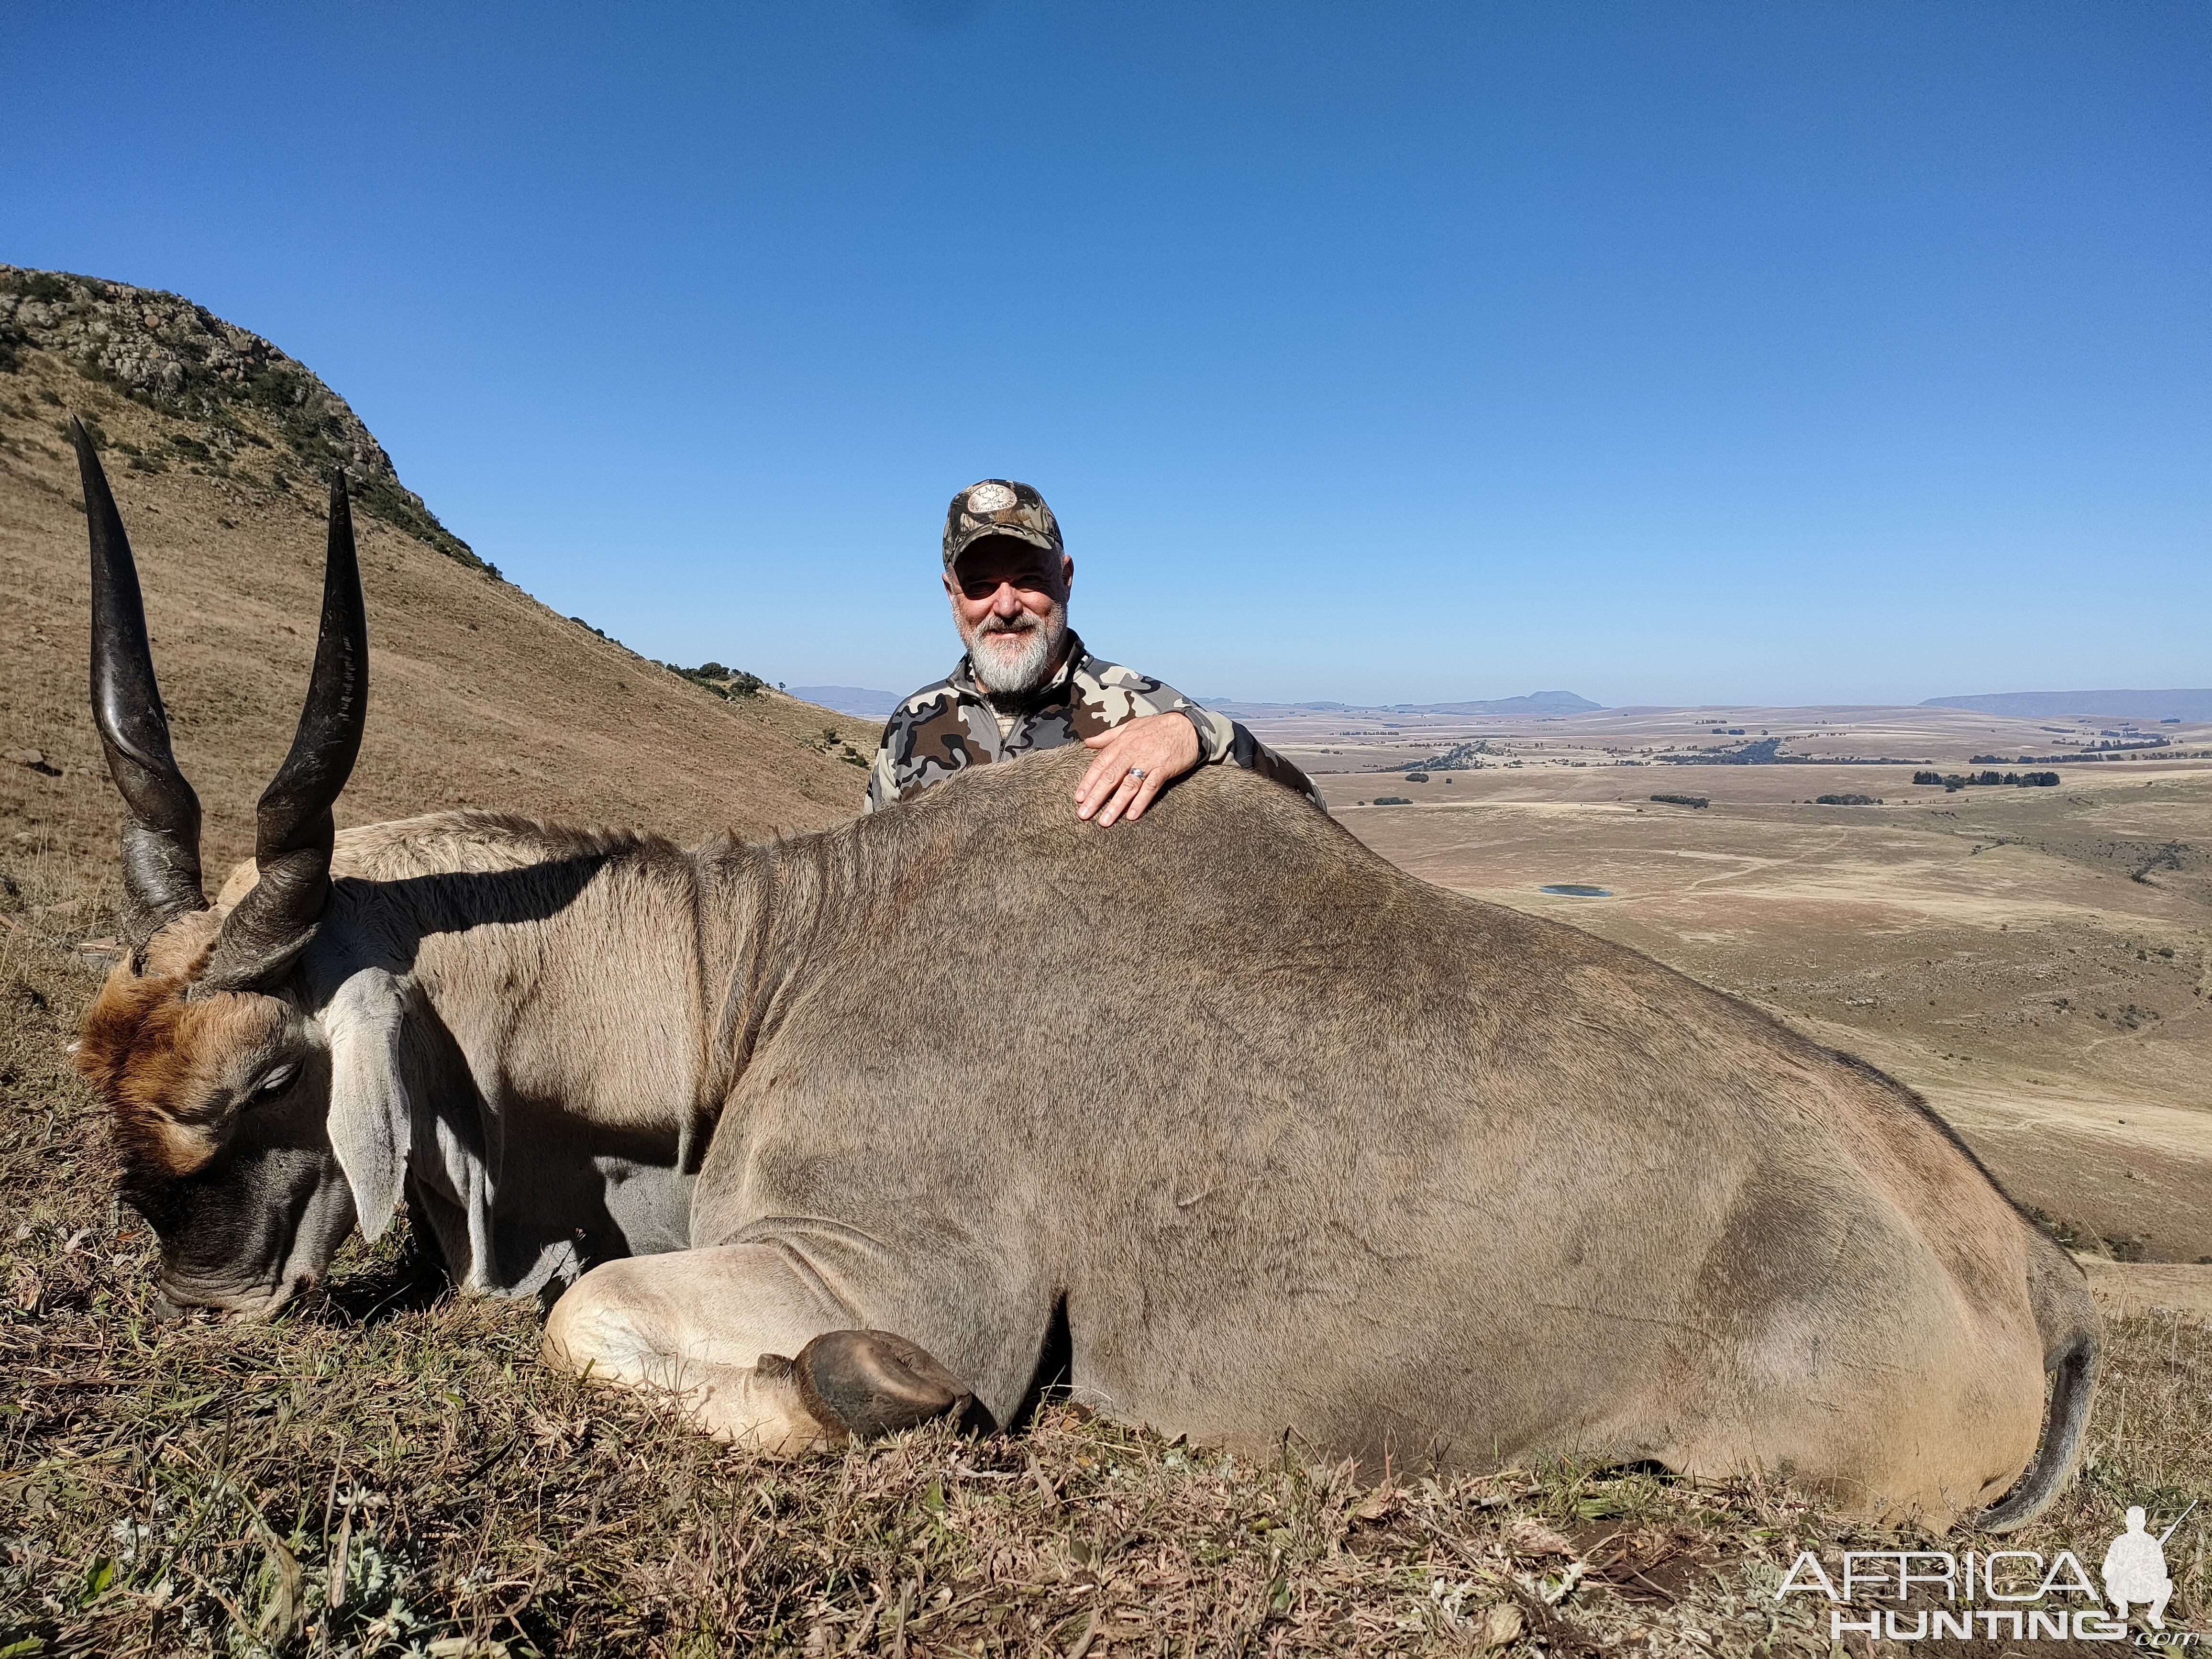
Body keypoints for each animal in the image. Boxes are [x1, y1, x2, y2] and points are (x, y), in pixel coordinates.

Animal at [69, 424, 2097, 1530]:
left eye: (261, 1078)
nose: (200, 1290)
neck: (774, 956)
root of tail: (2036, 1273)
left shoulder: (904, 1277)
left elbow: (604, 1326)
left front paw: (876, 1402)